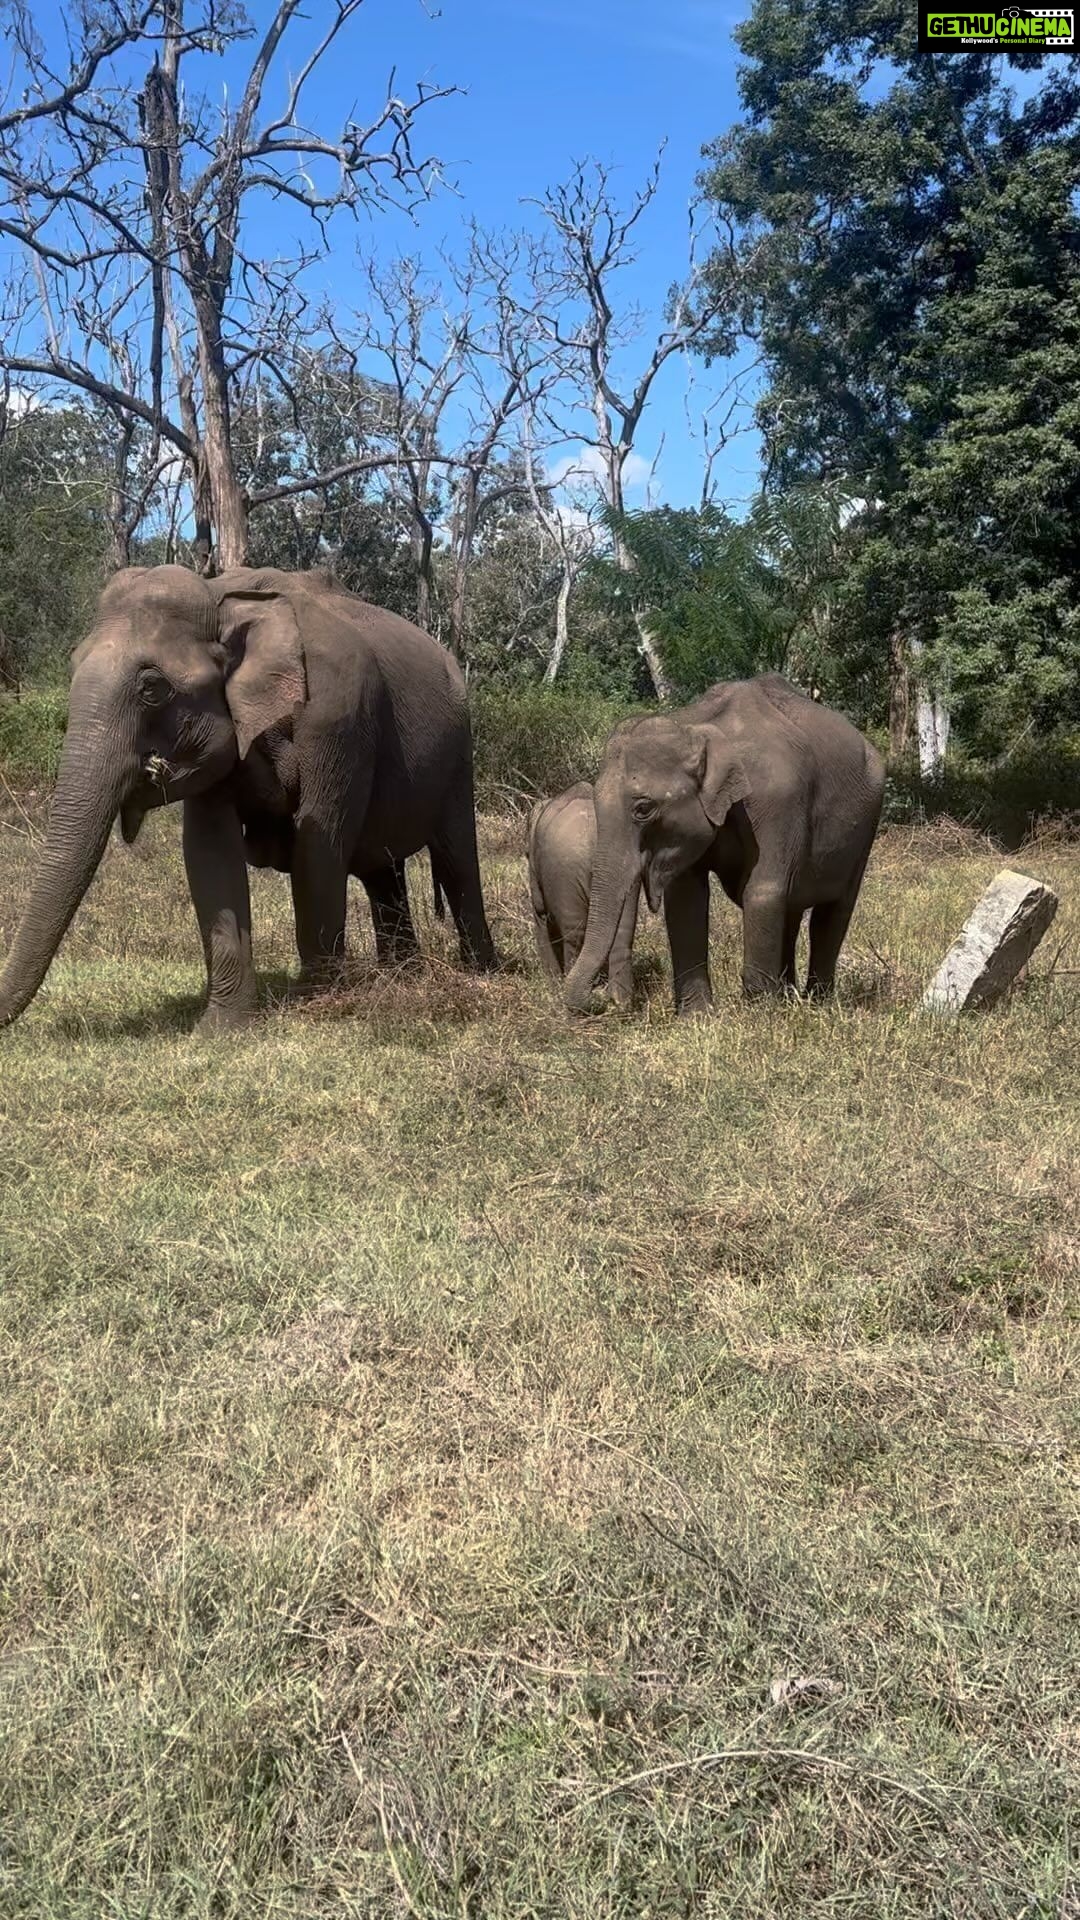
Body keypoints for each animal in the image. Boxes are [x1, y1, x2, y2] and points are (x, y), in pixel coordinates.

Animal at [0, 564, 496, 1033]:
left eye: (152, 688)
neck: (222, 595)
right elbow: (208, 854)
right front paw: (221, 1030)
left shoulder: (338, 720)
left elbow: (319, 846)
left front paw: (316, 1005)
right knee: (384, 872)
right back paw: (402, 978)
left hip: (459, 753)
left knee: (456, 860)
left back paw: (481, 974)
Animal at [527, 781, 638, 1007]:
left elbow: (540, 912)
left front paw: (552, 988)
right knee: (623, 934)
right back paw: (621, 1005)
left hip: (566, 870)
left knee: (574, 935)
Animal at [564, 674, 885, 1016]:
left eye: (643, 809)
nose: (603, 1000)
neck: (698, 728)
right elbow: (687, 898)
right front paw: (697, 1017)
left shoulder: (778, 800)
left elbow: (763, 892)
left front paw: (758, 1015)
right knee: (792, 909)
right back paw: (789, 999)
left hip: (866, 828)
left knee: (832, 914)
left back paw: (816, 1004)